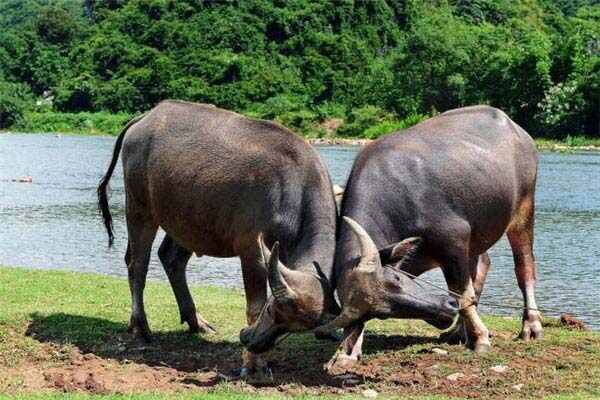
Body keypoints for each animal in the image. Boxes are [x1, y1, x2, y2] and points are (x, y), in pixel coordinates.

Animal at [318, 104, 544, 370]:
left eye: (396, 279)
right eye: (383, 313)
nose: (445, 313)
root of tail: (517, 130)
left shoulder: (454, 241)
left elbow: (462, 293)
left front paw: (481, 339)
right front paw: (345, 353)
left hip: (524, 210)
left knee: (524, 267)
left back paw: (530, 325)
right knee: (482, 264)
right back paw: (458, 332)